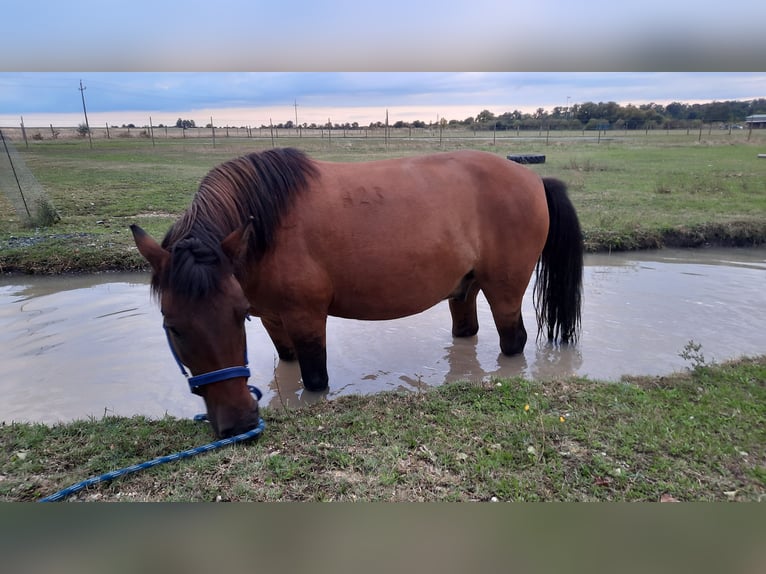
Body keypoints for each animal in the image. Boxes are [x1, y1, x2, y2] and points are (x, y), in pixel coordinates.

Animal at [134, 147, 584, 436]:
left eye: (235, 316)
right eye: (173, 327)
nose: (239, 423)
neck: (267, 226)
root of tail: (532, 178)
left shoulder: (306, 317)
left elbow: (316, 380)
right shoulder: (273, 320)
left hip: (504, 292)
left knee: (514, 341)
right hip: (464, 289)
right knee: (466, 334)